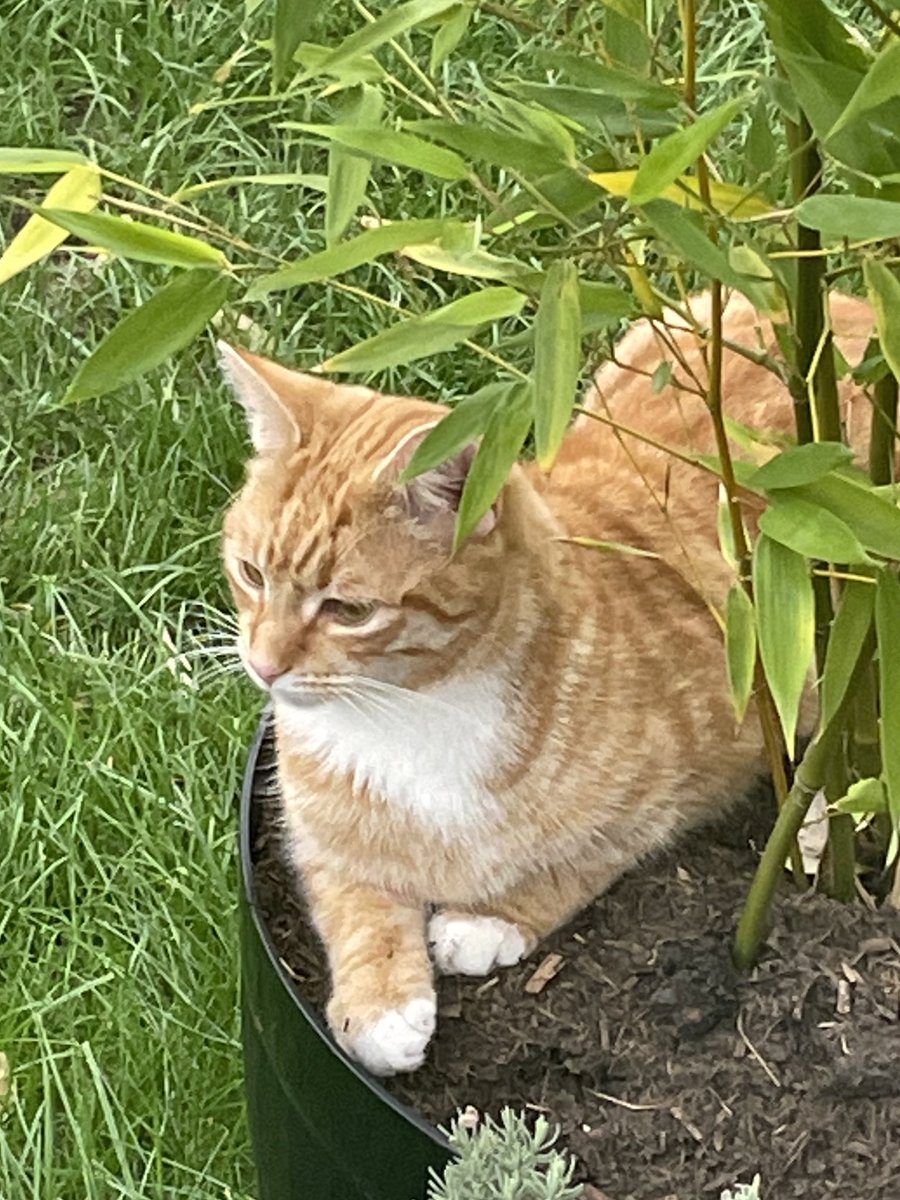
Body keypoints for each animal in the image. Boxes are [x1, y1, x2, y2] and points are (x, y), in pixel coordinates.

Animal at [218, 290, 873, 1080]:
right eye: (251, 573)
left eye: (348, 610)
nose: (264, 665)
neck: (413, 709)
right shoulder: (316, 828)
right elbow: (354, 900)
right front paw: (380, 1005)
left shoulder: (688, 778)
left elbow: (584, 860)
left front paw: (488, 919)